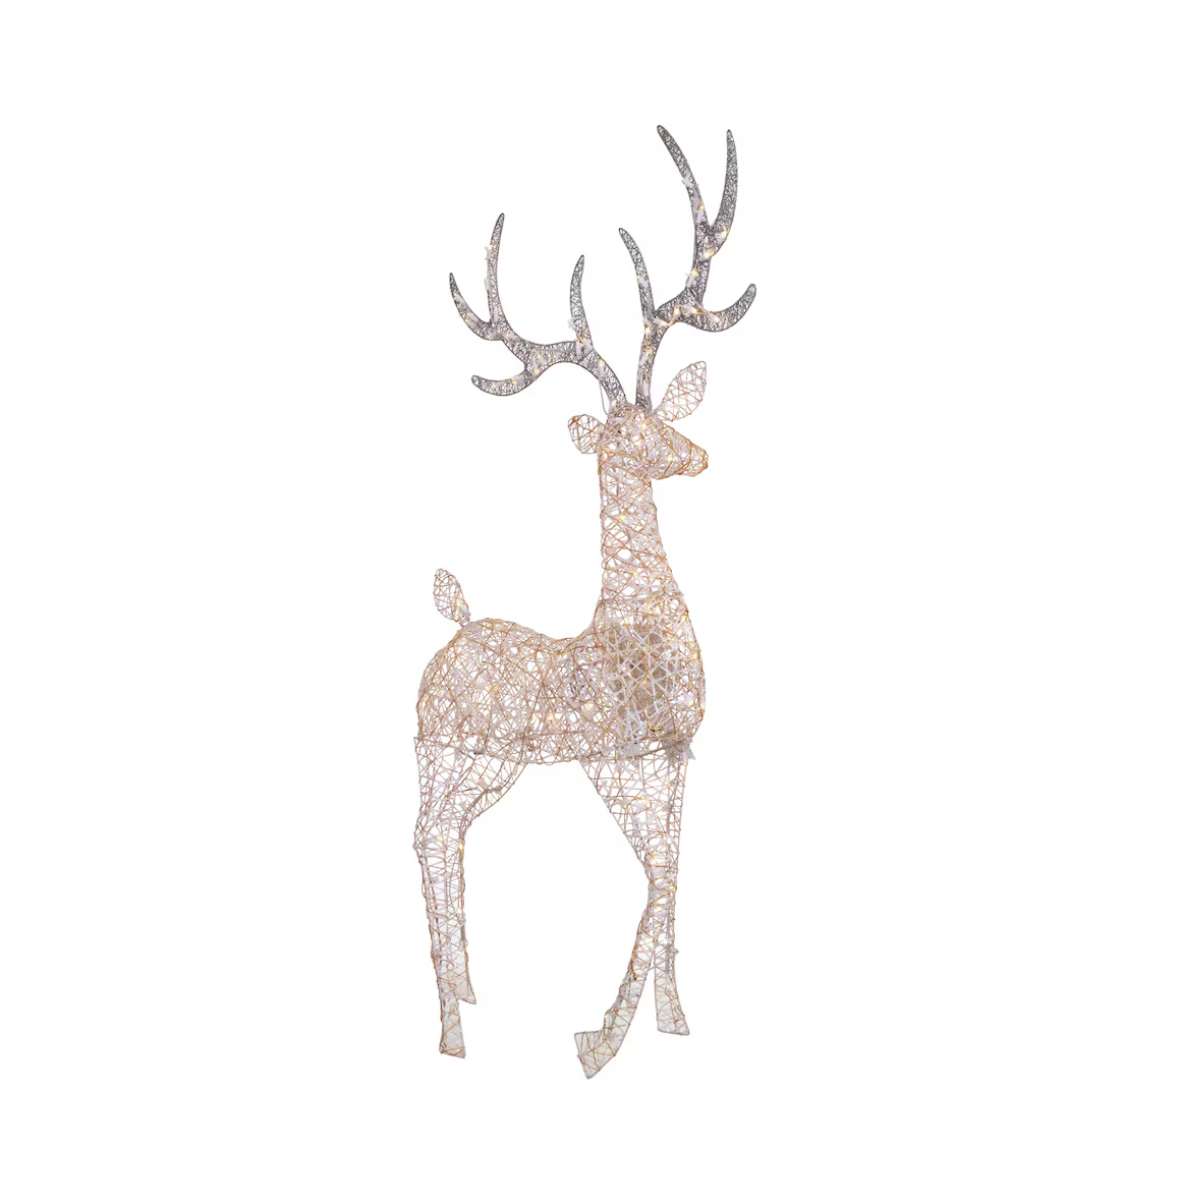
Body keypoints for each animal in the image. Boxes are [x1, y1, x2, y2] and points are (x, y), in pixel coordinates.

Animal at [413, 126, 755, 1078]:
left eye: (662, 413)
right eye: (624, 436)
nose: (696, 456)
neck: (639, 627)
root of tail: (449, 635)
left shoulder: (676, 758)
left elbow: (673, 874)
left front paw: (672, 1021)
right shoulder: (617, 761)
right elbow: (657, 880)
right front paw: (598, 1042)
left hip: (487, 770)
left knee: (444, 843)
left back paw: (467, 995)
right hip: (454, 757)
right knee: (427, 841)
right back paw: (452, 1031)